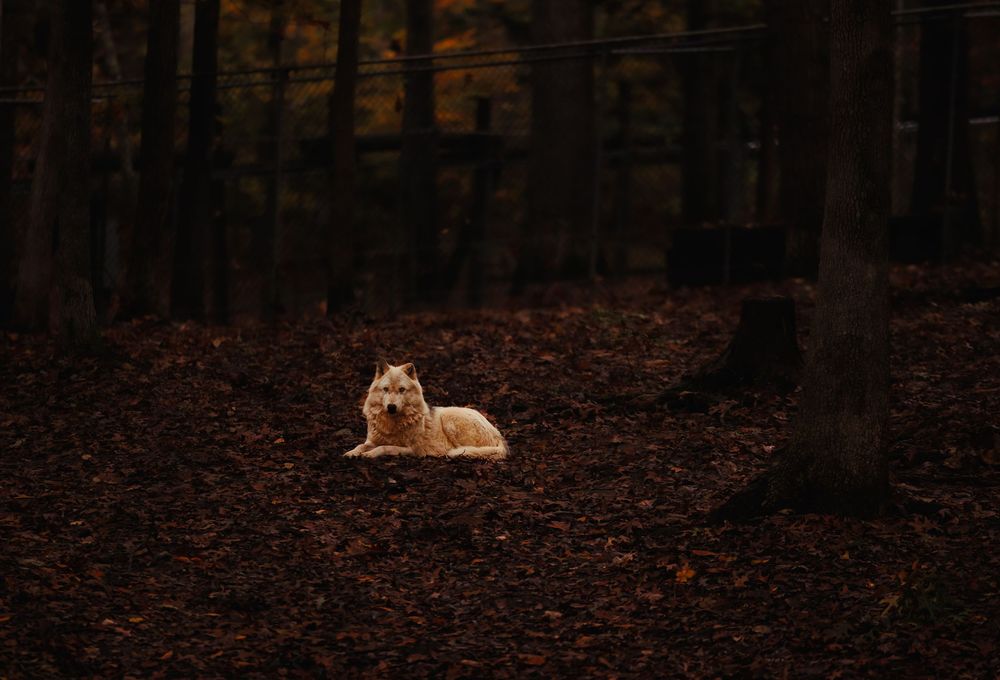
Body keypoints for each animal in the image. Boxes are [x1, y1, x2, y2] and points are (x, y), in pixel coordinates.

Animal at [343, 359, 508, 460]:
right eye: (385, 389)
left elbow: (384, 447)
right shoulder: (372, 440)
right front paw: (351, 453)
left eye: (401, 390)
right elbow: (361, 445)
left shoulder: (412, 450)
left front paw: (369, 454)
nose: (391, 407)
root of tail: (499, 434)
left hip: (449, 418)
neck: (391, 424)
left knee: (465, 450)